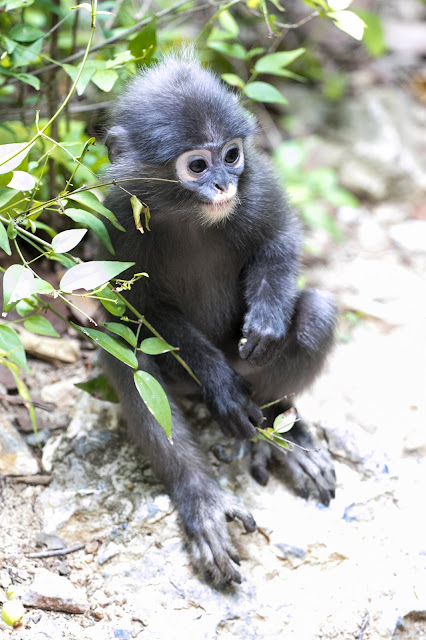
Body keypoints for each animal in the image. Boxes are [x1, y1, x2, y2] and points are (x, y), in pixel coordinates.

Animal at [100, 52, 336, 588]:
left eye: (230, 156)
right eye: (197, 165)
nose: (224, 184)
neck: (188, 215)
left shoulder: (259, 182)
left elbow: (281, 238)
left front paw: (267, 321)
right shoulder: (118, 210)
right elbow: (142, 307)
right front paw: (219, 383)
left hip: (256, 370)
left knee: (315, 316)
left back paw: (281, 435)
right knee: (127, 357)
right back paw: (203, 498)